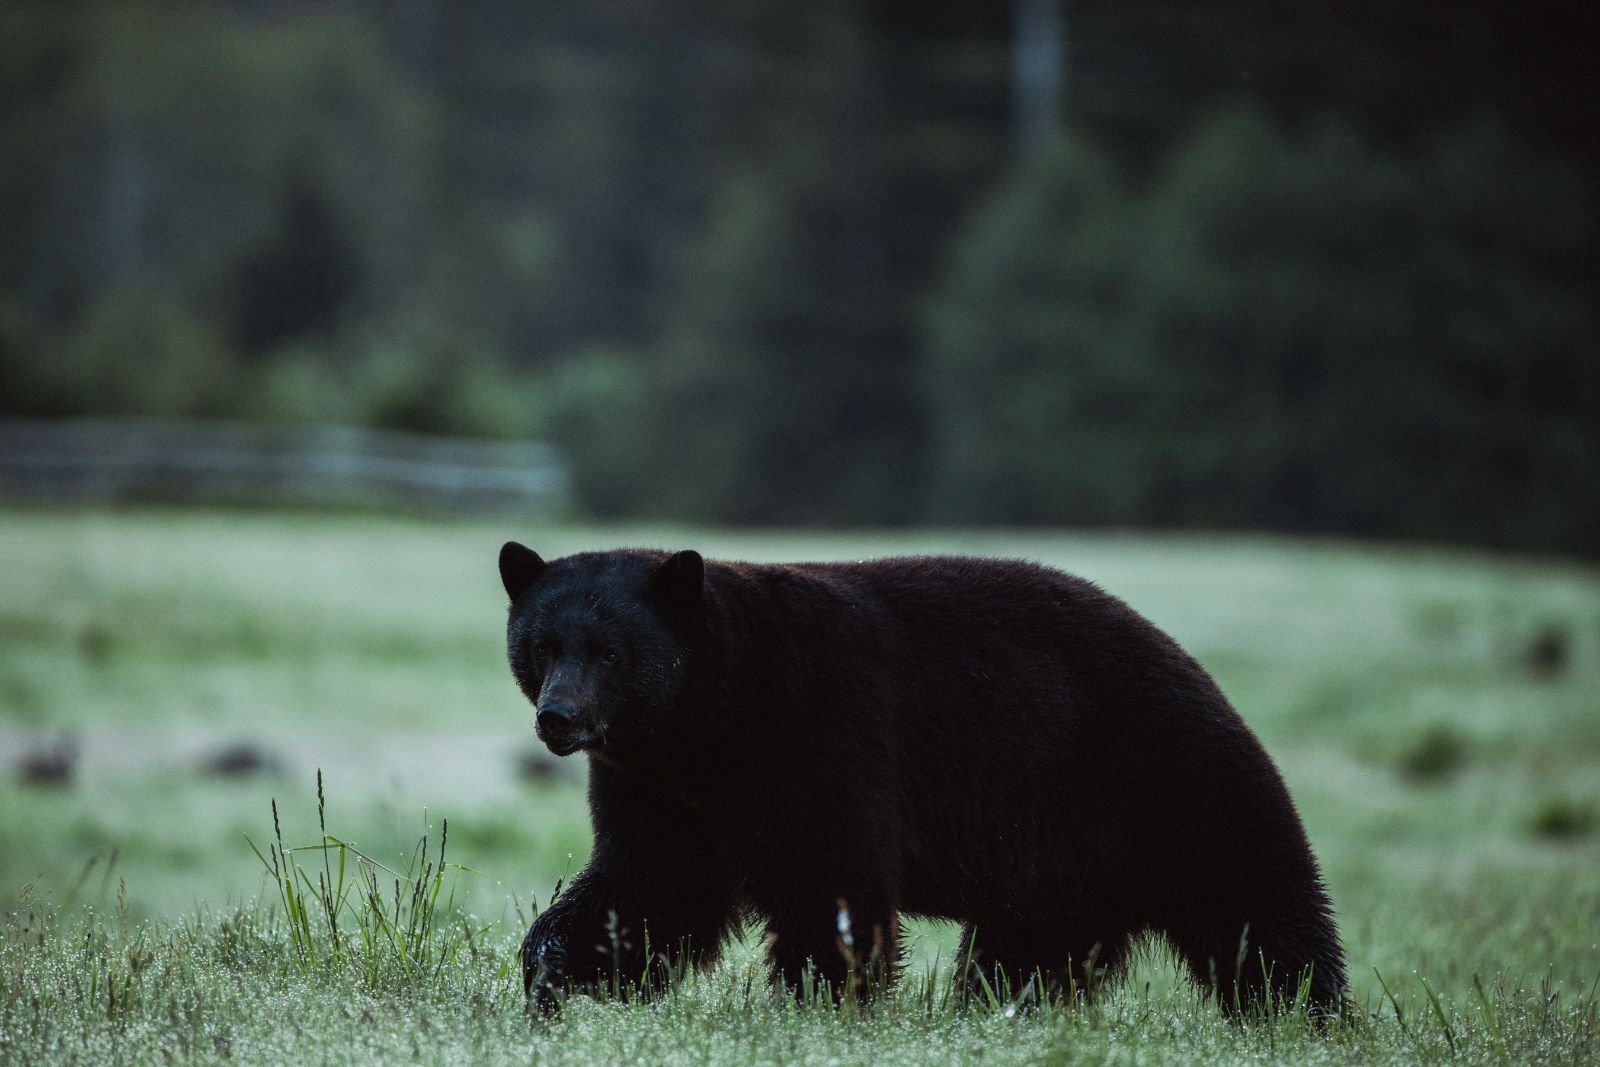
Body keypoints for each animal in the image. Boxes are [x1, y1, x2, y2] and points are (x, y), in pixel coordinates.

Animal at [499, 543, 1347, 1016]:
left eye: (612, 650)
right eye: (543, 643)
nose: (559, 717)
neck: (713, 718)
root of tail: (1200, 673)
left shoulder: (818, 728)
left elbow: (827, 882)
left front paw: (819, 1006)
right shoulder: (659, 786)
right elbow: (649, 889)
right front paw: (550, 974)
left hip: (1172, 782)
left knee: (1260, 913)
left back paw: (1306, 1018)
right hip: (1059, 867)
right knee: (1028, 956)